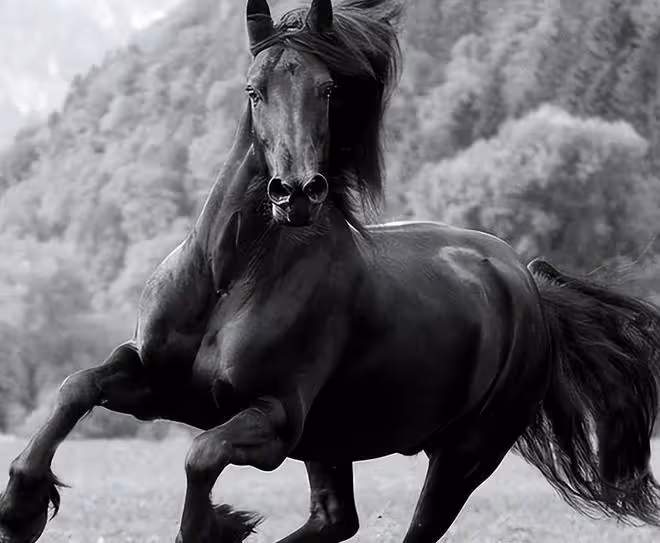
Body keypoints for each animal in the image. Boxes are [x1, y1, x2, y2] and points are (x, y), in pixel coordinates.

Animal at [2, 1, 660, 542]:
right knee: (335, 521)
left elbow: (200, 457)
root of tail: (527, 284)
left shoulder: (275, 418)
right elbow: (77, 387)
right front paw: (22, 507)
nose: (296, 193)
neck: (229, 278)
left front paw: (222, 523)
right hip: (333, 440)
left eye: (326, 89)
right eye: (254, 90)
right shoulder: (161, 385)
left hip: (463, 455)